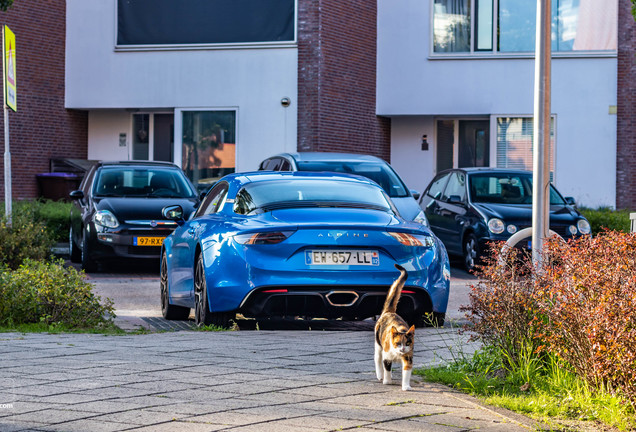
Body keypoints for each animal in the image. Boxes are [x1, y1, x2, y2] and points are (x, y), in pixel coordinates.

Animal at [372, 264, 418, 392]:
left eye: (407, 343)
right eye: (398, 343)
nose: (402, 349)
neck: (398, 355)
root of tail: (389, 312)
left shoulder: (408, 357)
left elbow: (406, 372)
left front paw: (406, 386)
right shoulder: (387, 356)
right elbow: (386, 367)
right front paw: (387, 381)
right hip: (378, 344)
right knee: (378, 358)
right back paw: (380, 375)